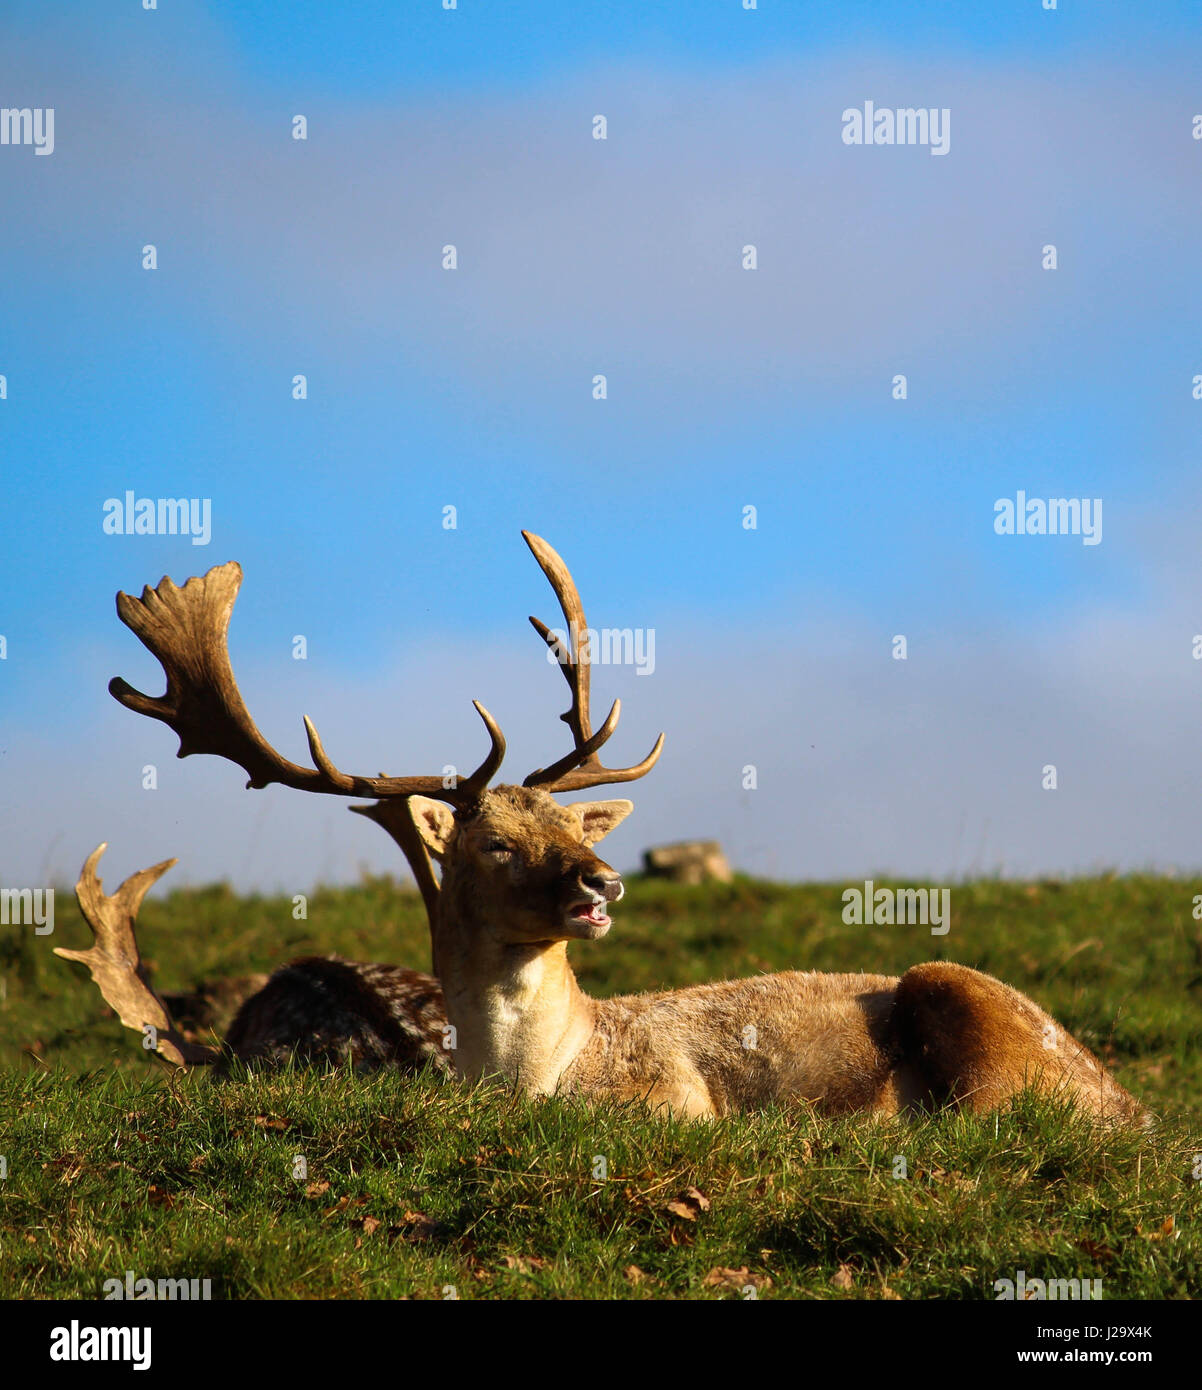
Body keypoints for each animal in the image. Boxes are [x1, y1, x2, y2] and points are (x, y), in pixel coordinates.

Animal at [56, 530, 1145, 1128]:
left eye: (568, 822)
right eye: (493, 842)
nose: (603, 882)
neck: (536, 1080)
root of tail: (1129, 1103)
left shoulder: (681, 1104)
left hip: (965, 1003)